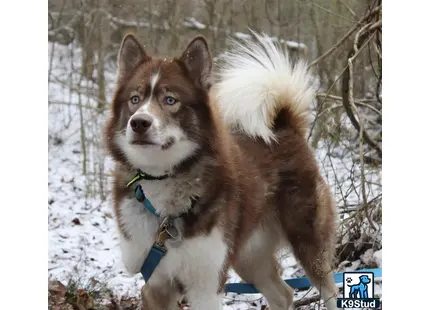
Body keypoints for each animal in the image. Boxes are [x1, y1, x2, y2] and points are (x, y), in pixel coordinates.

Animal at [104, 32, 340, 310]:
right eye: (135, 99)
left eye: (170, 100)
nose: (139, 123)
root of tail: (285, 126)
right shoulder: (156, 285)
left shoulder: (206, 286)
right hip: (248, 255)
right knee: (283, 293)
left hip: (309, 244)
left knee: (329, 290)